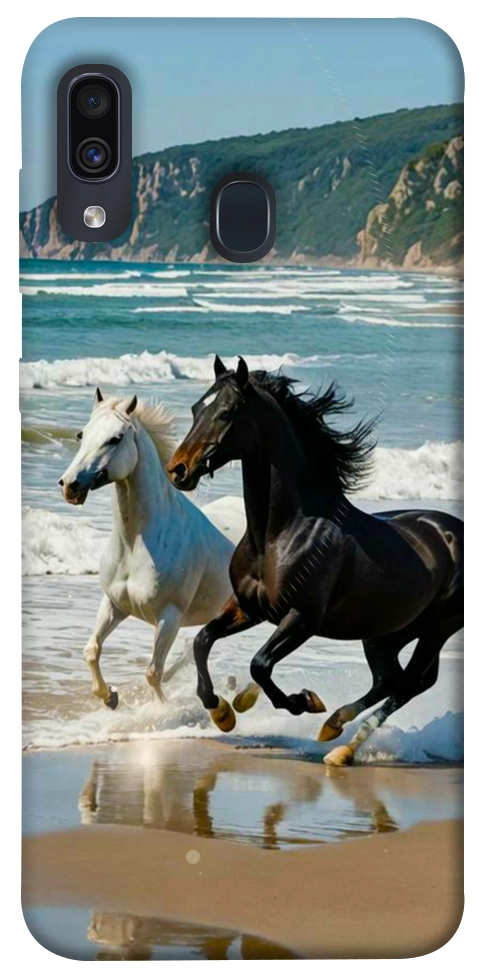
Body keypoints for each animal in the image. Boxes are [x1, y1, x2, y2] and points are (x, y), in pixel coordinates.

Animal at [59, 388, 234, 709]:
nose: (69, 485)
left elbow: (153, 672)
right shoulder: (114, 604)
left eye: (115, 438)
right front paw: (110, 697)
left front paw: (161, 711)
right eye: (81, 434)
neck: (135, 544)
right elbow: (91, 650)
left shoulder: (169, 618)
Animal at [166, 356, 463, 765]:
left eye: (225, 412)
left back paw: (341, 746)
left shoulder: (302, 618)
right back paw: (334, 729)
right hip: (386, 632)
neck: (279, 534)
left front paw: (302, 701)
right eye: (197, 408)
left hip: (437, 628)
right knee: (390, 679)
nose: (177, 469)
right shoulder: (248, 608)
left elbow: (260, 664)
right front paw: (223, 711)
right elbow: (202, 640)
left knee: (410, 683)